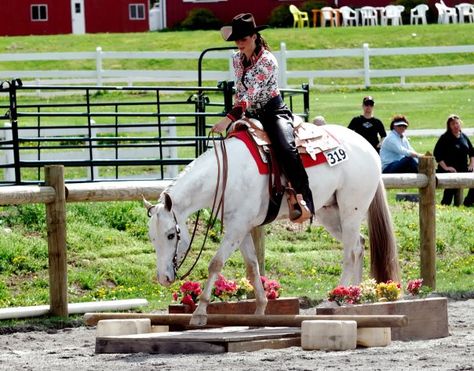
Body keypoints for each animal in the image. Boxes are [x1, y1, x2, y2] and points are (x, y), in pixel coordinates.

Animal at [144, 124, 400, 326]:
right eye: (152, 238)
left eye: (170, 235)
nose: (163, 278)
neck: (227, 176)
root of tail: (367, 146)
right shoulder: (241, 228)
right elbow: (252, 266)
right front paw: (259, 310)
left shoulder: (237, 228)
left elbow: (215, 264)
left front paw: (199, 313)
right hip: (329, 212)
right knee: (359, 245)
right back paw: (352, 296)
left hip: (350, 211)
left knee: (350, 253)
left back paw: (334, 299)